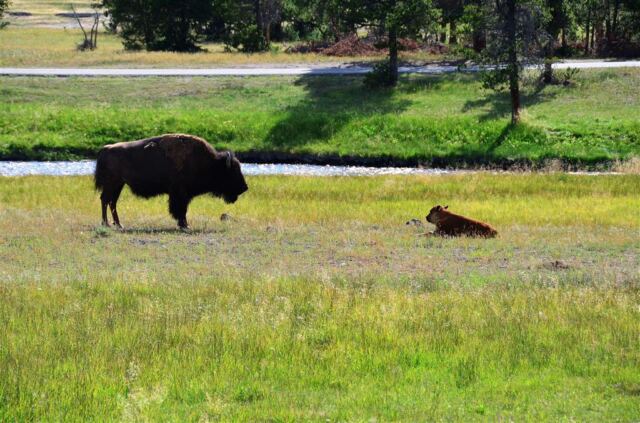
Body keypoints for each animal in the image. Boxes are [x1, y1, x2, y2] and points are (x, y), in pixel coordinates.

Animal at [94, 134, 248, 229]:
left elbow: (183, 210)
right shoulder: (180, 194)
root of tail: (105, 149)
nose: (244, 188)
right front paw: (184, 225)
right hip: (112, 183)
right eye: (232, 172)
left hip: (118, 184)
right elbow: (181, 209)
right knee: (105, 200)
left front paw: (184, 224)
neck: (211, 163)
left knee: (111, 202)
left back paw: (118, 224)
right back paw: (106, 223)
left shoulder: (183, 195)